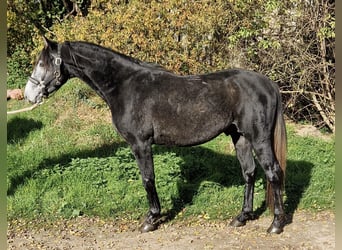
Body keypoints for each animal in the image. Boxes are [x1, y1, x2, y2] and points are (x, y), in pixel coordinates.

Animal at [24, 36, 288, 233]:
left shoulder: (140, 144)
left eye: (42, 63)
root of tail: (268, 84)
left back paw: (276, 224)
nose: (28, 95)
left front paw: (151, 219)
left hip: (259, 139)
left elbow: (147, 179)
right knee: (249, 173)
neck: (125, 86)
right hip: (240, 137)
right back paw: (242, 217)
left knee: (273, 173)